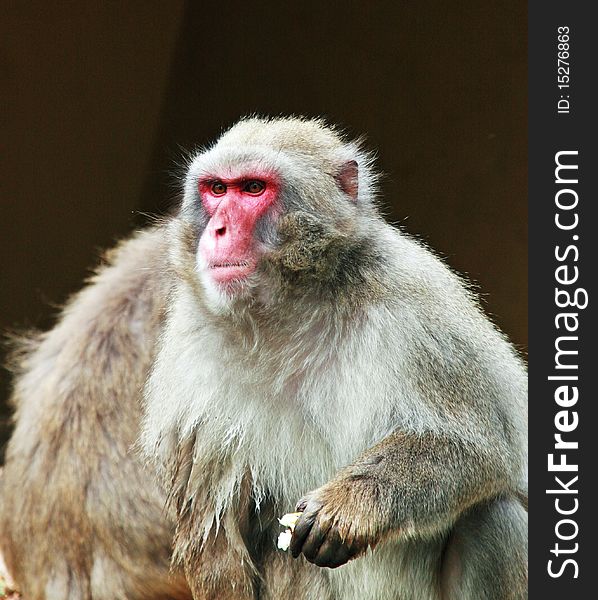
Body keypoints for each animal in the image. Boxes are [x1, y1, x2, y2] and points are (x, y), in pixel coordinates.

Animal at [0, 117, 528, 600]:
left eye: (253, 188)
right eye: (217, 189)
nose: (218, 229)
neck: (294, 307)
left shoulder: (417, 302)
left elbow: (480, 446)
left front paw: (349, 506)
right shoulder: (190, 346)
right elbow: (214, 523)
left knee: (495, 519)